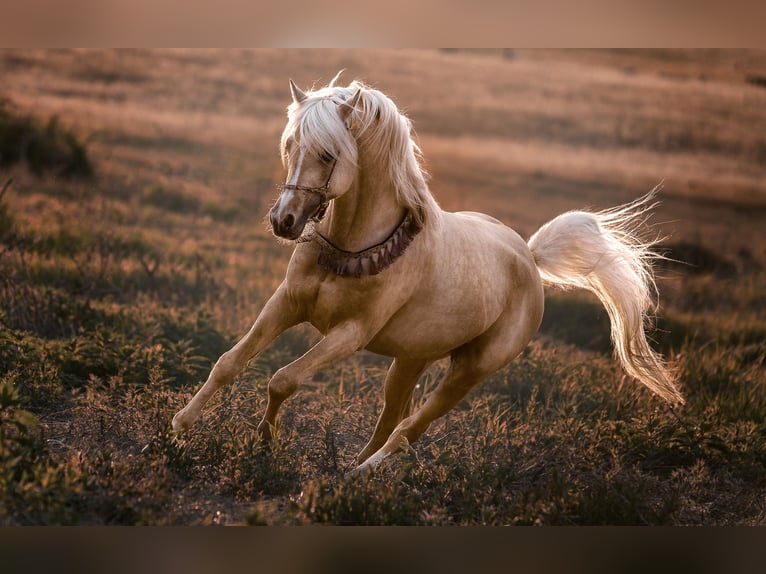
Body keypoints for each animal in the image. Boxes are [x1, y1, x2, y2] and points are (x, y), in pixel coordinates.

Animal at [171, 73, 688, 476]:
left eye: (328, 154)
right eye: (290, 145)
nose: (285, 221)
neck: (354, 247)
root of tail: (529, 258)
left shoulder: (350, 334)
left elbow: (283, 379)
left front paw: (265, 443)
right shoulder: (286, 303)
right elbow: (230, 362)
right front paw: (179, 427)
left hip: (468, 372)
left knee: (409, 428)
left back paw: (359, 475)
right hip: (410, 359)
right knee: (390, 416)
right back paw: (349, 466)